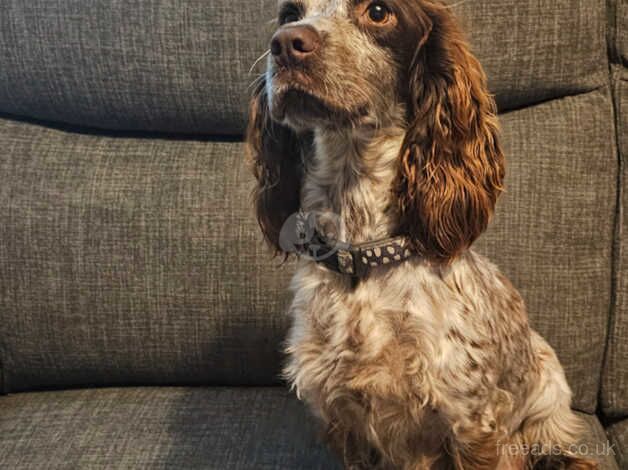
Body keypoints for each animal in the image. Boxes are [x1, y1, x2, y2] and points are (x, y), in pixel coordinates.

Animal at [245, 1, 600, 468]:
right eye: (290, 14)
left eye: (379, 12)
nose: (286, 44)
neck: (364, 253)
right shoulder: (343, 422)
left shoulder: (472, 424)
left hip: (547, 401)